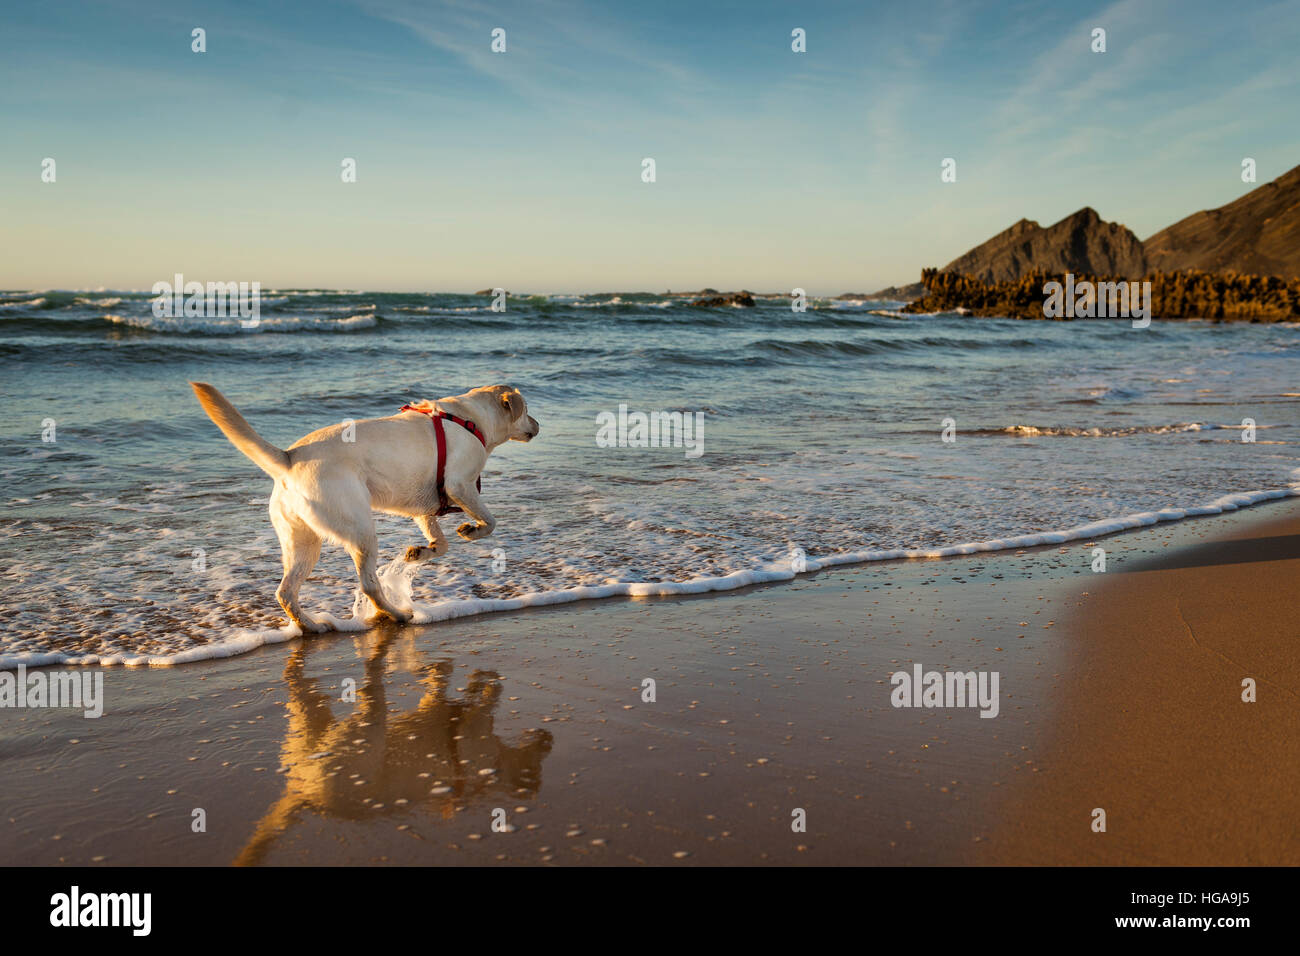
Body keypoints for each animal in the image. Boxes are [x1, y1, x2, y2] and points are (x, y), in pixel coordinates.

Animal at [189, 377, 540, 632]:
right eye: (526, 410)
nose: (538, 425)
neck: (473, 419)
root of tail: (289, 458)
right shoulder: (458, 485)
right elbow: (489, 522)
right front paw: (472, 529)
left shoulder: (424, 508)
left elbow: (440, 544)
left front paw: (419, 552)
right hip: (360, 530)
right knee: (369, 584)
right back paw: (397, 615)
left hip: (302, 541)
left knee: (285, 592)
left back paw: (312, 626)